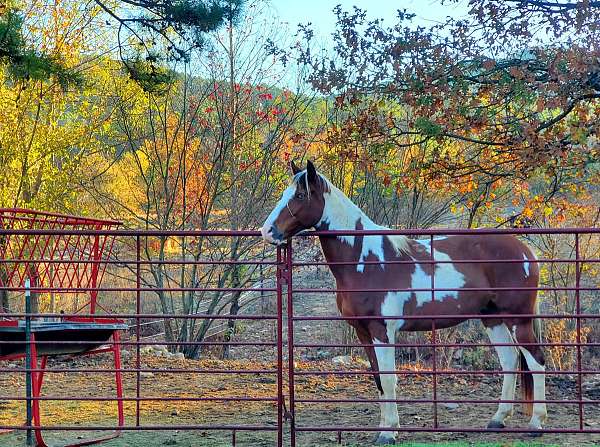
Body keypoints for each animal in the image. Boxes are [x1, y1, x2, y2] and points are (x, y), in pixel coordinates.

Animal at [260, 161, 548, 444]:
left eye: (300, 195)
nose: (267, 231)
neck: (365, 259)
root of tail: (526, 251)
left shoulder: (382, 330)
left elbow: (389, 380)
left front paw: (388, 433)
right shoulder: (363, 332)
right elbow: (378, 379)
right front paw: (385, 428)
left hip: (518, 319)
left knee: (536, 361)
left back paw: (536, 423)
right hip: (493, 318)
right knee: (510, 361)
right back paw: (498, 420)